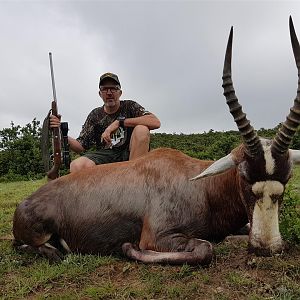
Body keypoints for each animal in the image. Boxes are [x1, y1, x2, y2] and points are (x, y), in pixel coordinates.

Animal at [12, 17, 300, 264]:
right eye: (243, 175)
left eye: (287, 177)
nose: (267, 247)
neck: (201, 186)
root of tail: (24, 203)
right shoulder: (158, 237)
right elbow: (205, 249)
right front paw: (128, 248)